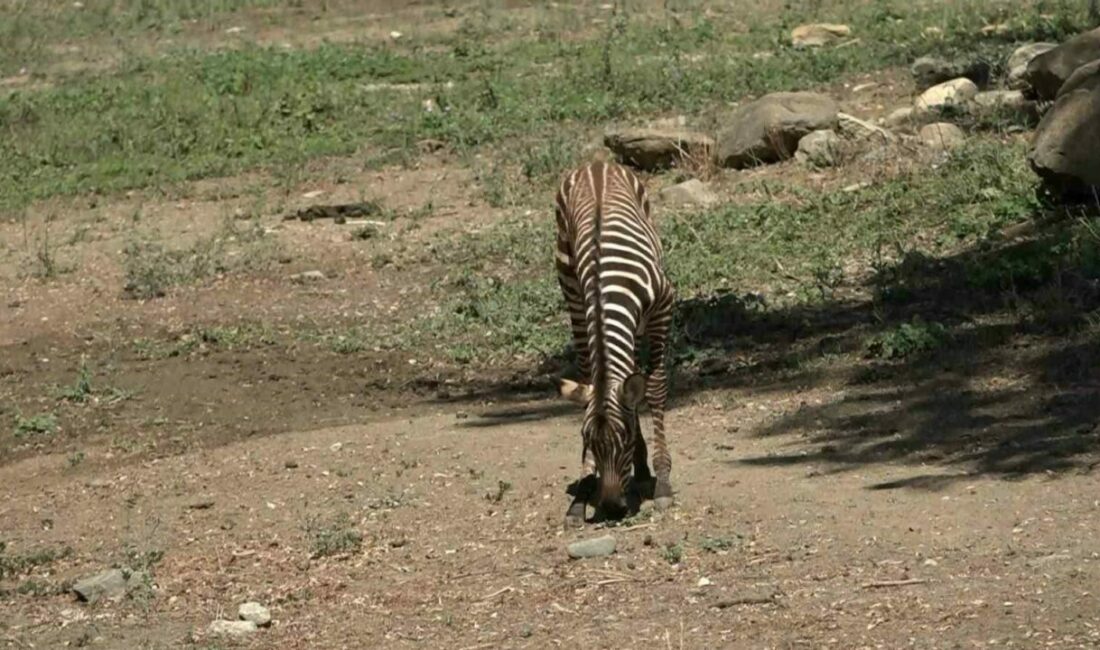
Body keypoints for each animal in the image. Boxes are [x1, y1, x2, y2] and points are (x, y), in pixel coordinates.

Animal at [553, 160, 675, 526]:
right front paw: (581, 493)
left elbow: (655, 388)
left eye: (624, 441)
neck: (604, 289)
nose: (609, 509)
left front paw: (663, 484)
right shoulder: (584, 312)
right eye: (587, 444)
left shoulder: (664, 305)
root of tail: (594, 163)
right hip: (569, 286)